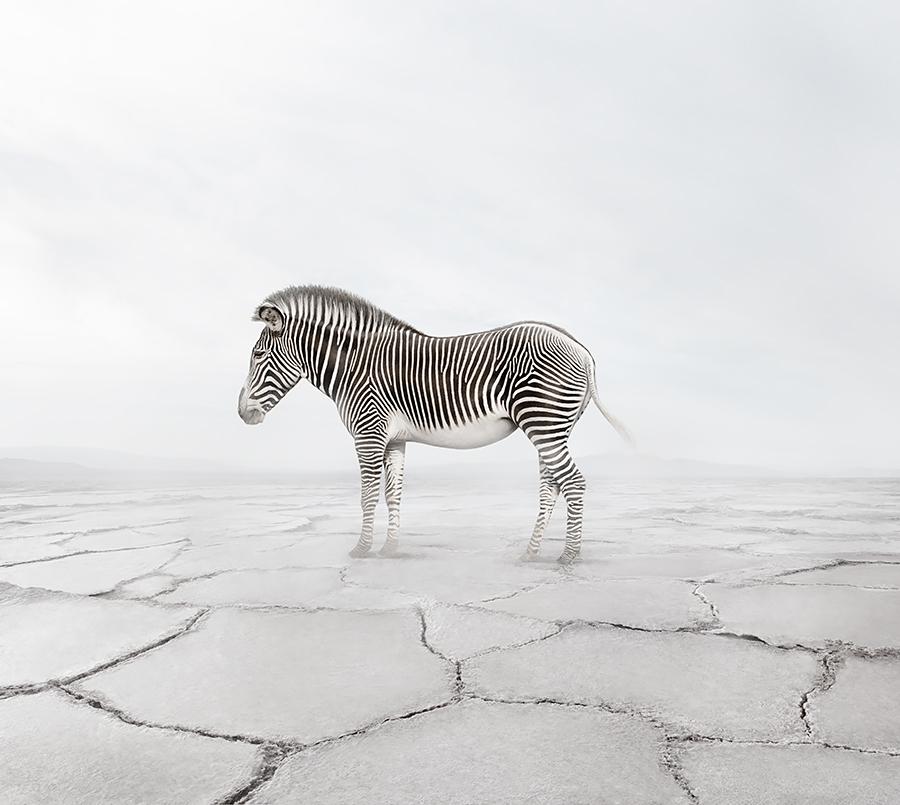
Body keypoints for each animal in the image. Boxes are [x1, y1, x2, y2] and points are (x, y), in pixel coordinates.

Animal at [238, 285, 630, 564]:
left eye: (258, 355)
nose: (243, 413)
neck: (354, 365)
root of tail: (580, 347)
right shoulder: (393, 440)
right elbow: (392, 494)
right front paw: (390, 549)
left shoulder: (368, 433)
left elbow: (368, 496)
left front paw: (361, 550)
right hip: (551, 428)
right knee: (551, 486)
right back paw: (532, 553)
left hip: (544, 423)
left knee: (573, 483)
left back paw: (569, 556)